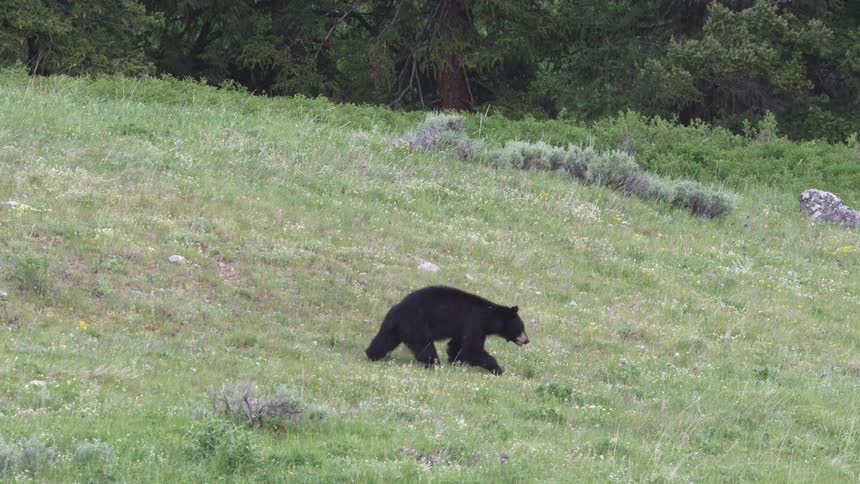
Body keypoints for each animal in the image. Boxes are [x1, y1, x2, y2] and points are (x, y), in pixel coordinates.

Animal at [365, 286, 529, 375]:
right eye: (522, 328)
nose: (527, 340)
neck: (488, 317)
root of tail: (398, 309)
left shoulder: (461, 328)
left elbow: (457, 345)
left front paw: (456, 361)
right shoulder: (474, 323)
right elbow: (473, 349)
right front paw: (498, 369)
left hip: (393, 326)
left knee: (384, 340)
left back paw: (372, 354)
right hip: (417, 324)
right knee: (425, 346)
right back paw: (434, 365)